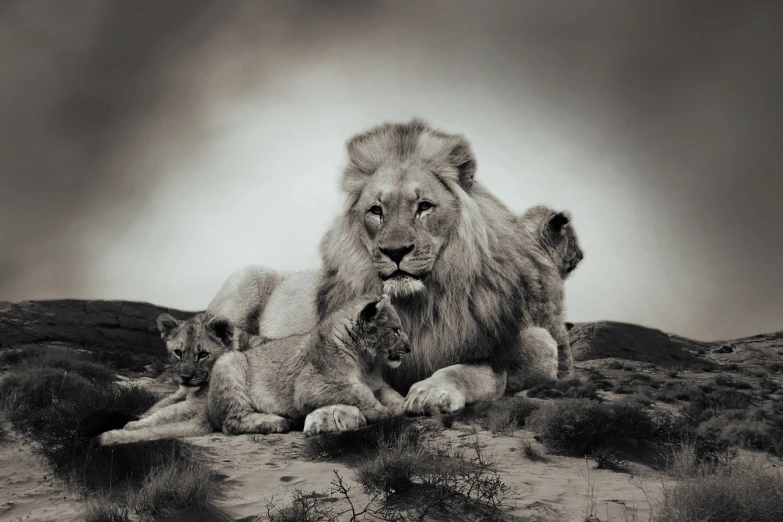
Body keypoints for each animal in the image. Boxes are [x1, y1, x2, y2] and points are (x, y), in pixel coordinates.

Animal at [98, 310, 234, 444]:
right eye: (178, 352)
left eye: (203, 354)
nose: (185, 377)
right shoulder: (181, 394)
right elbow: (159, 407)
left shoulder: (200, 406)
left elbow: (167, 415)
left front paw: (131, 426)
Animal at [208, 292, 414, 434]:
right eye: (395, 330)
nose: (409, 348)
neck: (366, 363)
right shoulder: (310, 386)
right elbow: (358, 392)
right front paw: (381, 411)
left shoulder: (377, 384)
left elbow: (392, 394)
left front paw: (405, 404)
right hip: (229, 362)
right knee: (231, 422)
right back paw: (275, 422)